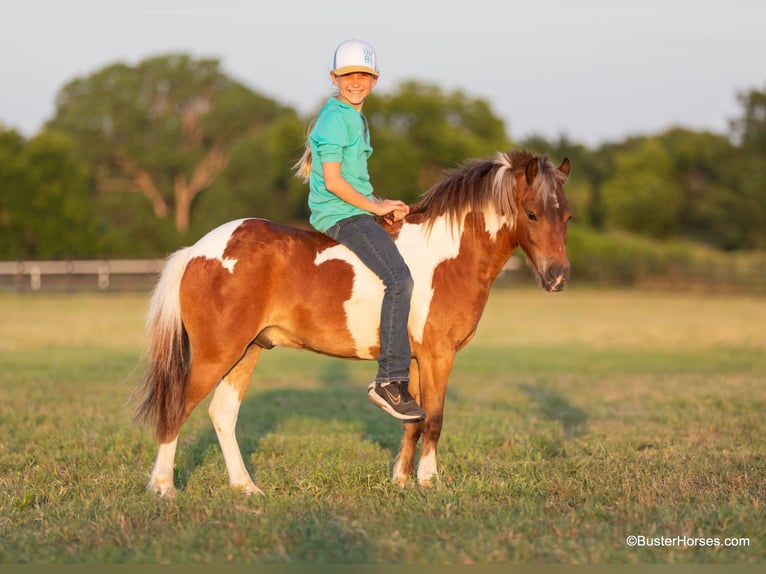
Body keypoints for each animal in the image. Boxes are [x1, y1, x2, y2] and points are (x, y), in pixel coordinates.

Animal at [135, 151, 572, 498]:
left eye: (566, 216)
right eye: (532, 213)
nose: (558, 277)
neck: (448, 256)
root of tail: (197, 251)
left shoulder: (415, 361)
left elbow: (412, 422)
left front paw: (401, 480)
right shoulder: (438, 356)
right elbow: (433, 419)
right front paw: (429, 481)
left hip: (247, 351)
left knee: (223, 414)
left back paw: (246, 487)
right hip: (217, 353)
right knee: (177, 409)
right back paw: (163, 487)